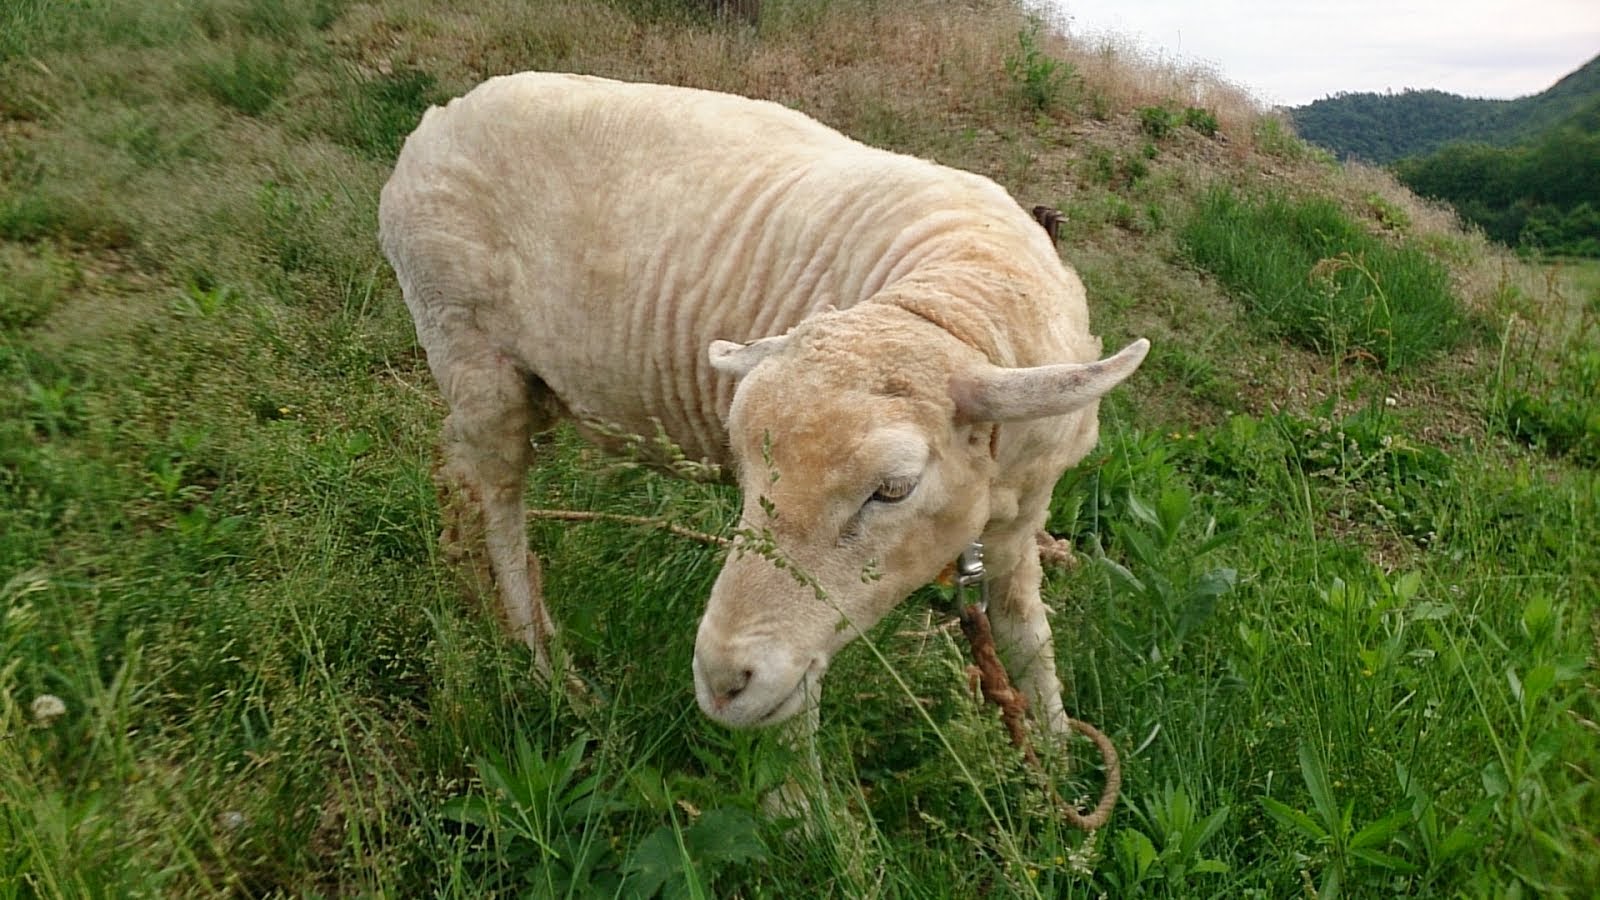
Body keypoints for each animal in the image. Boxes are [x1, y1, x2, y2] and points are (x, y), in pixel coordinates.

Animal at [378, 72, 1147, 743]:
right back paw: (544, 662)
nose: (722, 681)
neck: (955, 295)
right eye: (746, 471)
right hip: (470, 351)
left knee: (460, 470)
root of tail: (439, 116)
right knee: (500, 499)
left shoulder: (1020, 522)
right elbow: (795, 706)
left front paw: (1056, 767)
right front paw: (803, 815)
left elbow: (1027, 636)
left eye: (894, 489)